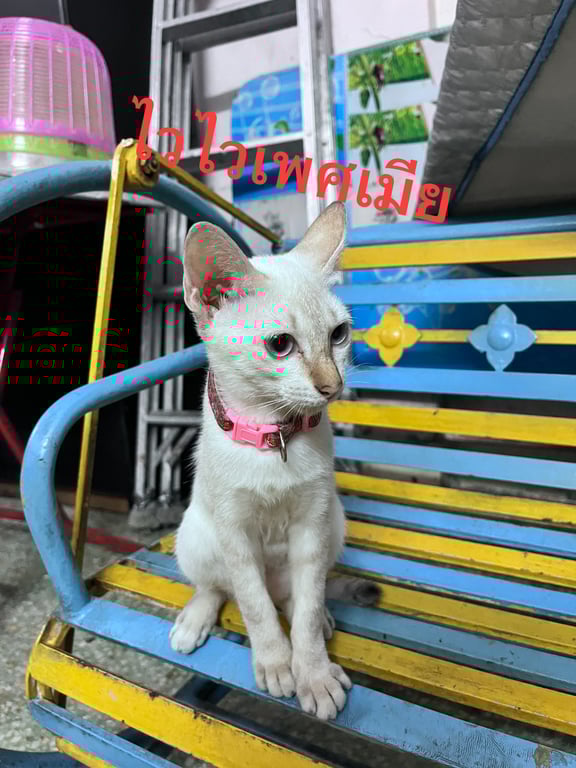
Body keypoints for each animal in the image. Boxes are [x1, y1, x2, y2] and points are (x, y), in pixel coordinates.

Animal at [170, 201, 380, 720]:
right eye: (280, 345)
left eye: (339, 334)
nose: (332, 387)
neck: (274, 437)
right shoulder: (235, 533)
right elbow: (255, 608)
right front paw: (276, 665)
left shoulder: (312, 524)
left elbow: (301, 612)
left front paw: (314, 674)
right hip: (197, 535)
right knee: (218, 587)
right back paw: (195, 619)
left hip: (335, 526)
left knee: (297, 595)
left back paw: (323, 619)